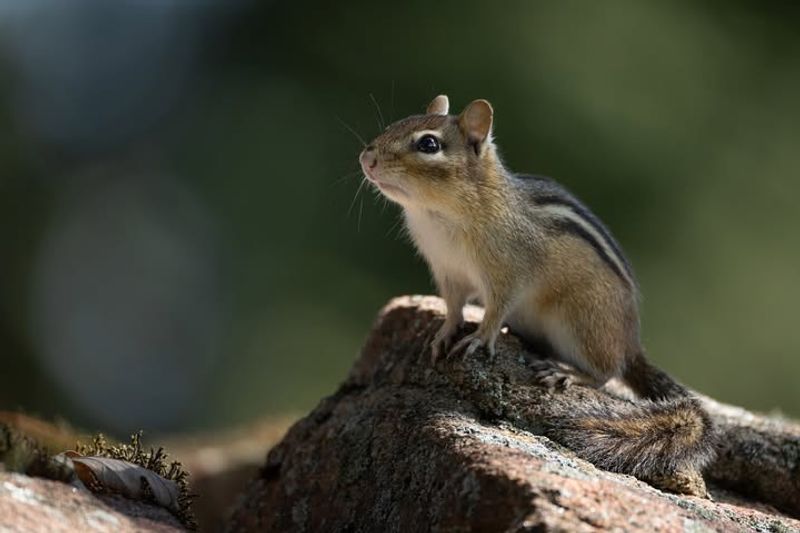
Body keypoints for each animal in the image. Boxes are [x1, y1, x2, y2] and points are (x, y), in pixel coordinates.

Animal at [358, 95, 716, 495]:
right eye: (395, 125)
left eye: (429, 145)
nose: (366, 158)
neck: (440, 213)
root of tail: (631, 343)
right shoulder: (447, 272)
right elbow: (453, 306)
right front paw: (444, 333)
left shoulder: (508, 271)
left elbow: (496, 307)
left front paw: (480, 337)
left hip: (581, 322)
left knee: (607, 371)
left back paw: (568, 372)